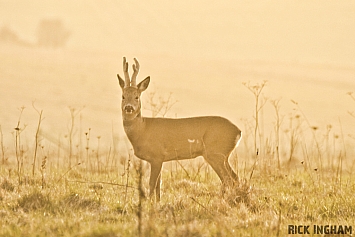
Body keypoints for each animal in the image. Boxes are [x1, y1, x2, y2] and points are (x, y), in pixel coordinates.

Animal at [117, 57, 242, 200]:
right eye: (123, 96)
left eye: (137, 97)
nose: (128, 107)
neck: (142, 130)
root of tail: (238, 132)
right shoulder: (159, 159)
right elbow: (158, 186)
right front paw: (157, 202)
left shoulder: (157, 155)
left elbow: (152, 184)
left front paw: (149, 202)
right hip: (223, 155)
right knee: (235, 178)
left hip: (215, 153)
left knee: (228, 179)